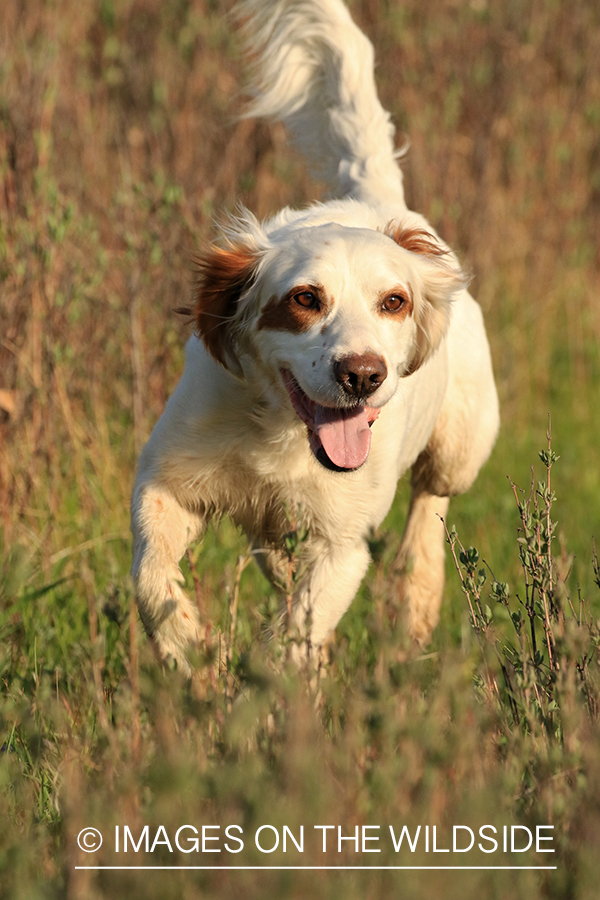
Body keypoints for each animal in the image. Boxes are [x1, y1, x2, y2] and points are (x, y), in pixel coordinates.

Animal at [132, 0, 502, 676]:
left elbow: (288, 642)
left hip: (461, 444)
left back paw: (413, 602)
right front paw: (191, 649)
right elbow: (152, 579)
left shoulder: (341, 544)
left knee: (429, 505)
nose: (363, 374)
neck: (278, 431)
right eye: (305, 299)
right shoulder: (165, 482)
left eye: (394, 302)